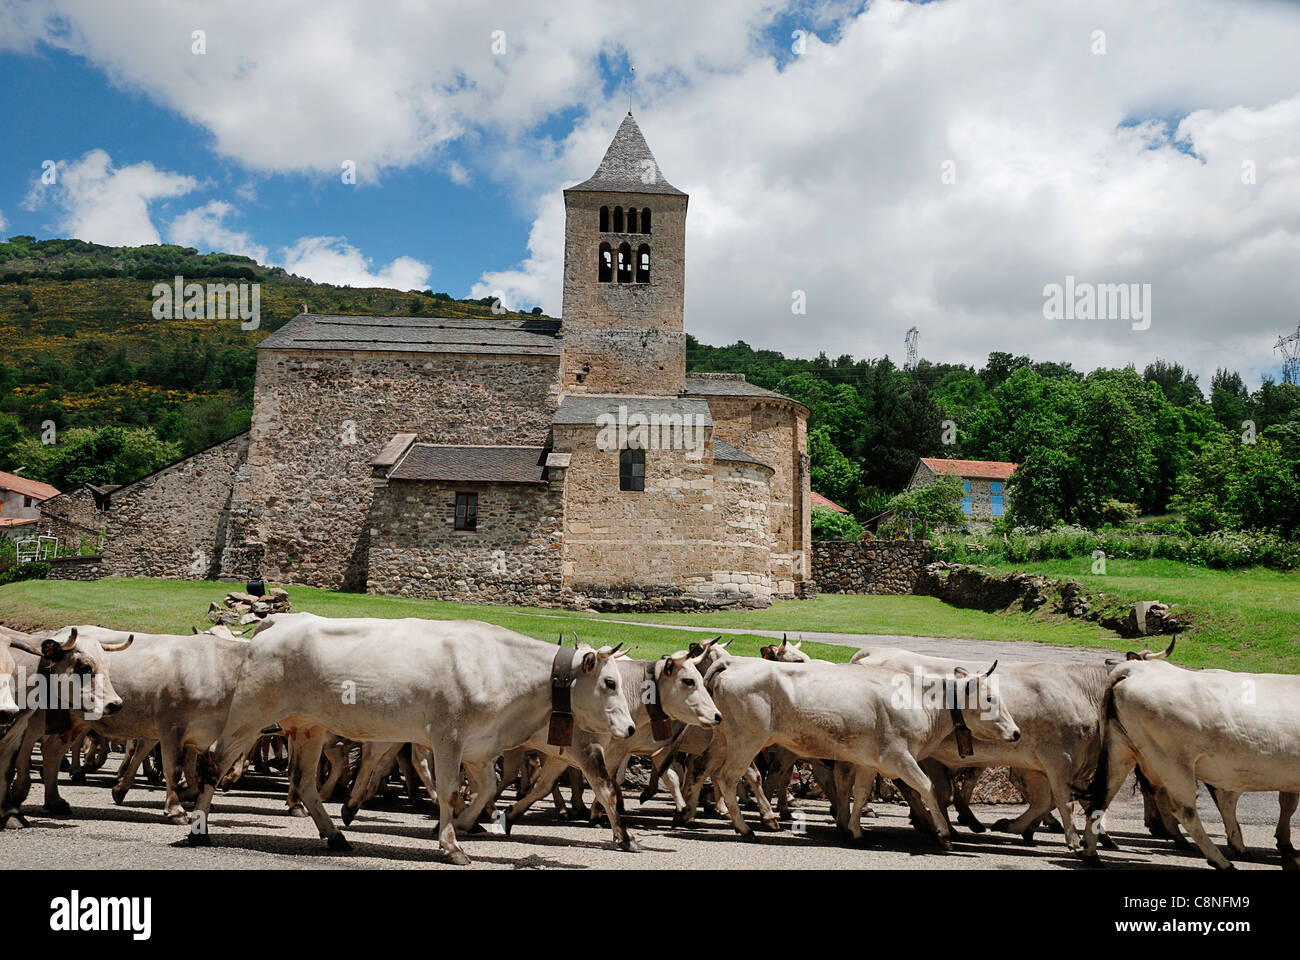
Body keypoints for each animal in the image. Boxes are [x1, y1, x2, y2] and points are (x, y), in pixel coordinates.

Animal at [184, 613, 639, 868]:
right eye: (610, 683)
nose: (632, 729)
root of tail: (280, 621)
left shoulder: (480, 745)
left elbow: (487, 788)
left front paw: (463, 824)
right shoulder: (448, 735)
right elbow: (452, 790)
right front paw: (452, 845)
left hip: (309, 725)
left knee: (305, 783)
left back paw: (336, 836)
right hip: (250, 713)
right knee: (213, 761)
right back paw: (199, 829)